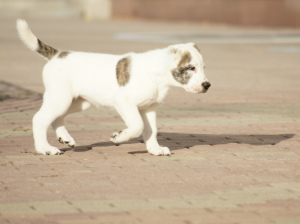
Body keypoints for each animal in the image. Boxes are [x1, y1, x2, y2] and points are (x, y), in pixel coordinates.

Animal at [16, 19, 211, 156]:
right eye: (191, 68)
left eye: (203, 67)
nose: (207, 85)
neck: (159, 75)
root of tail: (57, 54)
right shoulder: (124, 101)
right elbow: (137, 125)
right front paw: (119, 137)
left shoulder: (148, 108)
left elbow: (151, 130)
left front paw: (154, 149)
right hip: (61, 98)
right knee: (40, 119)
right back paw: (44, 148)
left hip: (78, 102)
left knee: (56, 117)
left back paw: (65, 138)